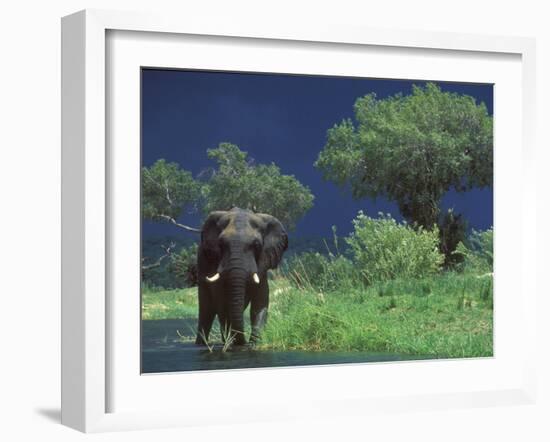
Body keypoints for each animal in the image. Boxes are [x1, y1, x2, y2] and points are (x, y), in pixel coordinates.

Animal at [196, 208, 288, 348]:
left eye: (256, 245)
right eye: (221, 244)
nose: (243, 343)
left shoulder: (262, 265)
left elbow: (259, 303)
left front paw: (253, 344)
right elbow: (222, 303)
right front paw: (233, 342)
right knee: (206, 311)